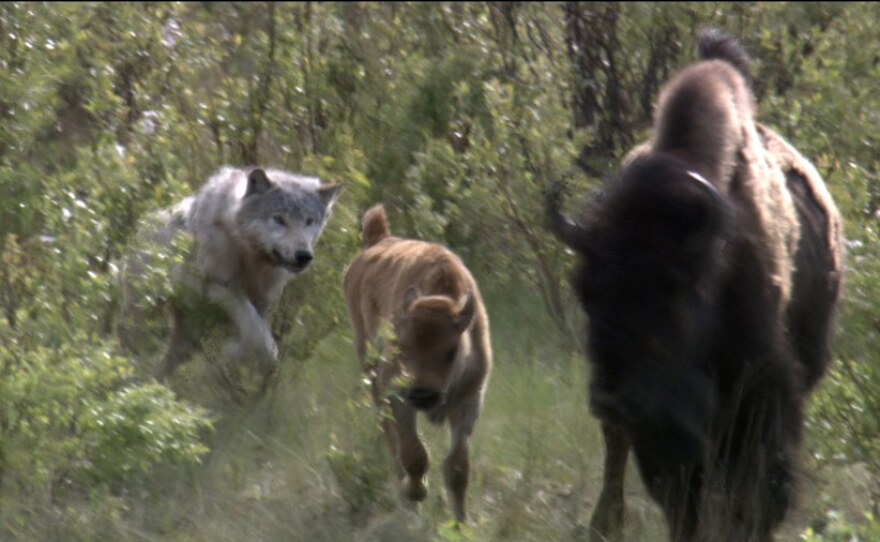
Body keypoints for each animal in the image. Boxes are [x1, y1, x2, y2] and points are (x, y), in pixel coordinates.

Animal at [122, 167, 342, 396]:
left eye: (309, 221)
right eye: (279, 219)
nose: (303, 256)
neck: (248, 255)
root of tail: (142, 225)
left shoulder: (262, 304)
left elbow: (255, 332)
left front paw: (243, 355)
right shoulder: (205, 286)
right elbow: (250, 326)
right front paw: (238, 352)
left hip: (188, 335)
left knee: (168, 361)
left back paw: (154, 385)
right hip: (143, 313)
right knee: (129, 341)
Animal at [344, 205, 496, 528]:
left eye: (452, 351)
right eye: (401, 346)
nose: (423, 394)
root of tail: (378, 241)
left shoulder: (469, 402)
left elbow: (458, 467)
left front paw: (461, 523)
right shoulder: (398, 395)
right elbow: (414, 453)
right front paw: (416, 493)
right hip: (371, 371)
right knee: (390, 438)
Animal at [548, 28, 844, 542]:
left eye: (672, 287)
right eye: (585, 290)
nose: (611, 398)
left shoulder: (760, 382)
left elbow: (759, 477)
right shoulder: (662, 423)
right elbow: (679, 488)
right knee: (617, 455)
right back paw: (605, 522)